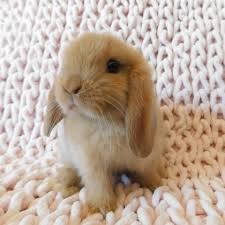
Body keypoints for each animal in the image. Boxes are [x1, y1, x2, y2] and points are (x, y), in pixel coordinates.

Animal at [44, 31, 167, 213]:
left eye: (113, 66)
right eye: (64, 65)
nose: (70, 86)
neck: (106, 122)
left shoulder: (148, 158)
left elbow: (147, 171)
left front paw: (156, 184)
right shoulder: (91, 162)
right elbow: (98, 182)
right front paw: (101, 206)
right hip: (67, 154)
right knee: (68, 169)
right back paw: (67, 187)